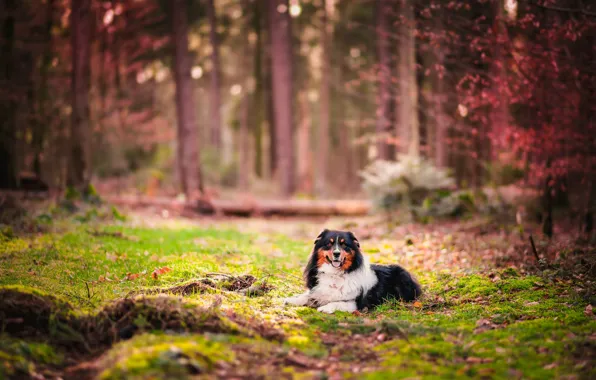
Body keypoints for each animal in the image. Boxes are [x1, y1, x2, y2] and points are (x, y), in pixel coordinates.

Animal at [282, 229, 420, 314]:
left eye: (344, 245)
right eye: (329, 243)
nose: (336, 253)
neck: (334, 274)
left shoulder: (354, 303)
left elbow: (337, 303)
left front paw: (325, 307)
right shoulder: (317, 290)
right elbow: (307, 295)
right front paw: (293, 299)